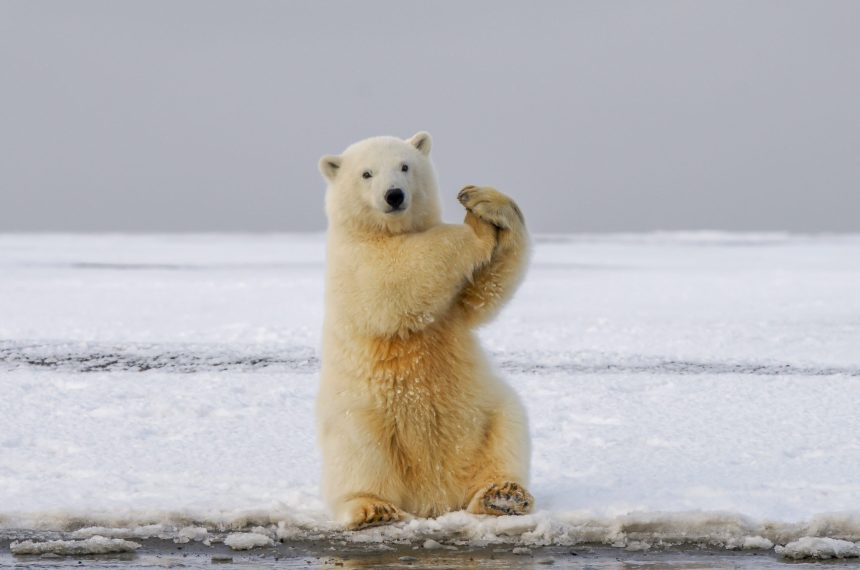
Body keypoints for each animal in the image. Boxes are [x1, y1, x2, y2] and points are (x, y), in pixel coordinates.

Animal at [316, 131, 533, 529]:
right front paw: (475, 230)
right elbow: (398, 274)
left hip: (484, 413)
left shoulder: (454, 308)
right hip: (360, 416)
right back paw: (374, 508)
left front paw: (483, 202)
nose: (394, 195)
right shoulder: (354, 260)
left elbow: (484, 292)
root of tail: (433, 497)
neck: (384, 231)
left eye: (405, 166)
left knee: (507, 430)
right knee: (359, 455)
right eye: (366, 173)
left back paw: (503, 495)